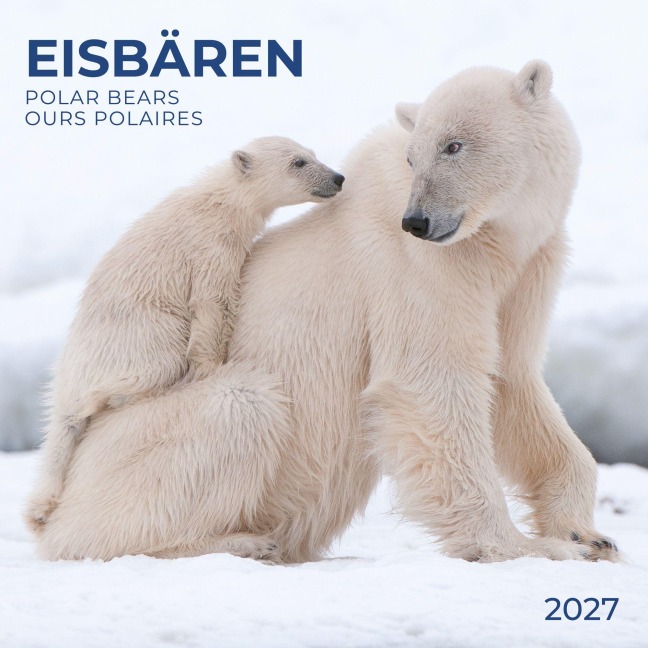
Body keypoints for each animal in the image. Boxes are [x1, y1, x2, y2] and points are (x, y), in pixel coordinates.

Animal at [25, 136, 344, 533]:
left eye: (312, 154)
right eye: (298, 162)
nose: (338, 177)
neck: (220, 201)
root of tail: (68, 378)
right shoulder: (209, 246)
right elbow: (212, 301)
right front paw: (210, 366)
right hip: (139, 336)